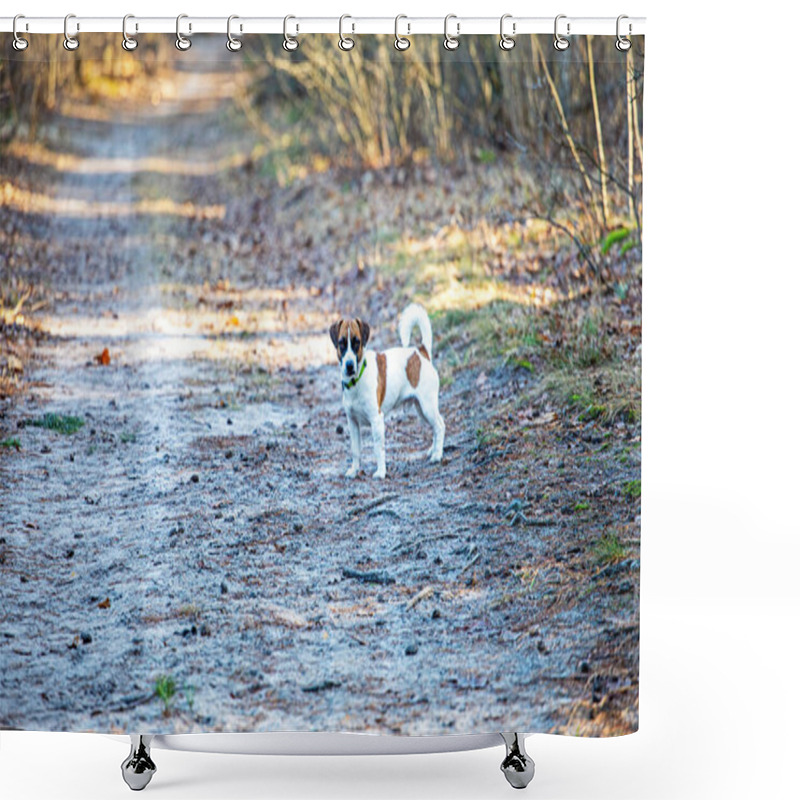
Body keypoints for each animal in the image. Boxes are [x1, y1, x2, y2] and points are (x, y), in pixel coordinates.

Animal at [328, 304, 446, 478]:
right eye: (342, 343)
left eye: (357, 342)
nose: (349, 365)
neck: (357, 380)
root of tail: (421, 352)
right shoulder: (353, 423)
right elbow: (355, 450)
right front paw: (354, 470)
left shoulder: (376, 420)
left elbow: (379, 449)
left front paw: (381, 472)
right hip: (421, 409)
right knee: (435, 427)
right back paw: (433, 450)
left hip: (427, 406)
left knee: (440, 425)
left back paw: (437, 455)